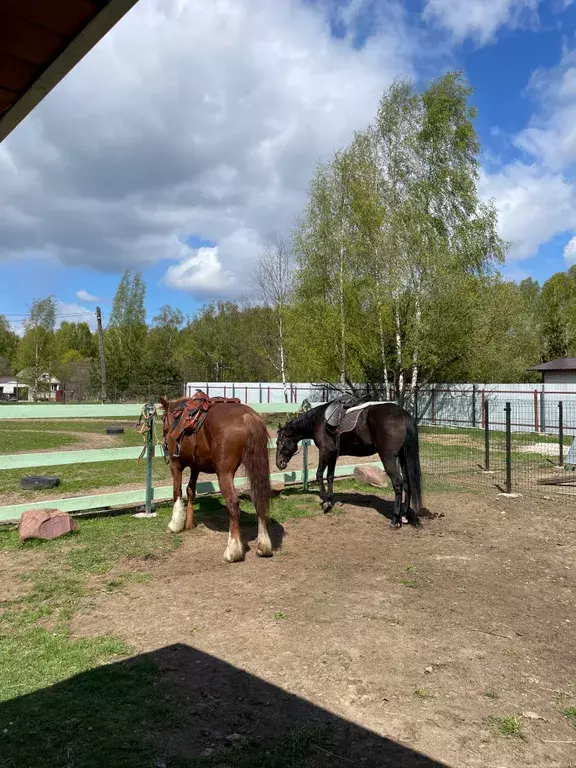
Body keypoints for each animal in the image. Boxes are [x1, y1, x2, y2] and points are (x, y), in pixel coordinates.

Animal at [159, 396, 274, 564]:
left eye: (162, 418)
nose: (165, 441)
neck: (178, 420)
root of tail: (248, 416)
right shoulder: (196, 466)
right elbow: (190, 490)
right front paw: (189, 522)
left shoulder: (175, 464)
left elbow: (177, 492)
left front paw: (175, 524)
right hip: (256, 469)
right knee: (258, 499)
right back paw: (263, 546)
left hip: (224, 473)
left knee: (233, 503)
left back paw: (232, 551)